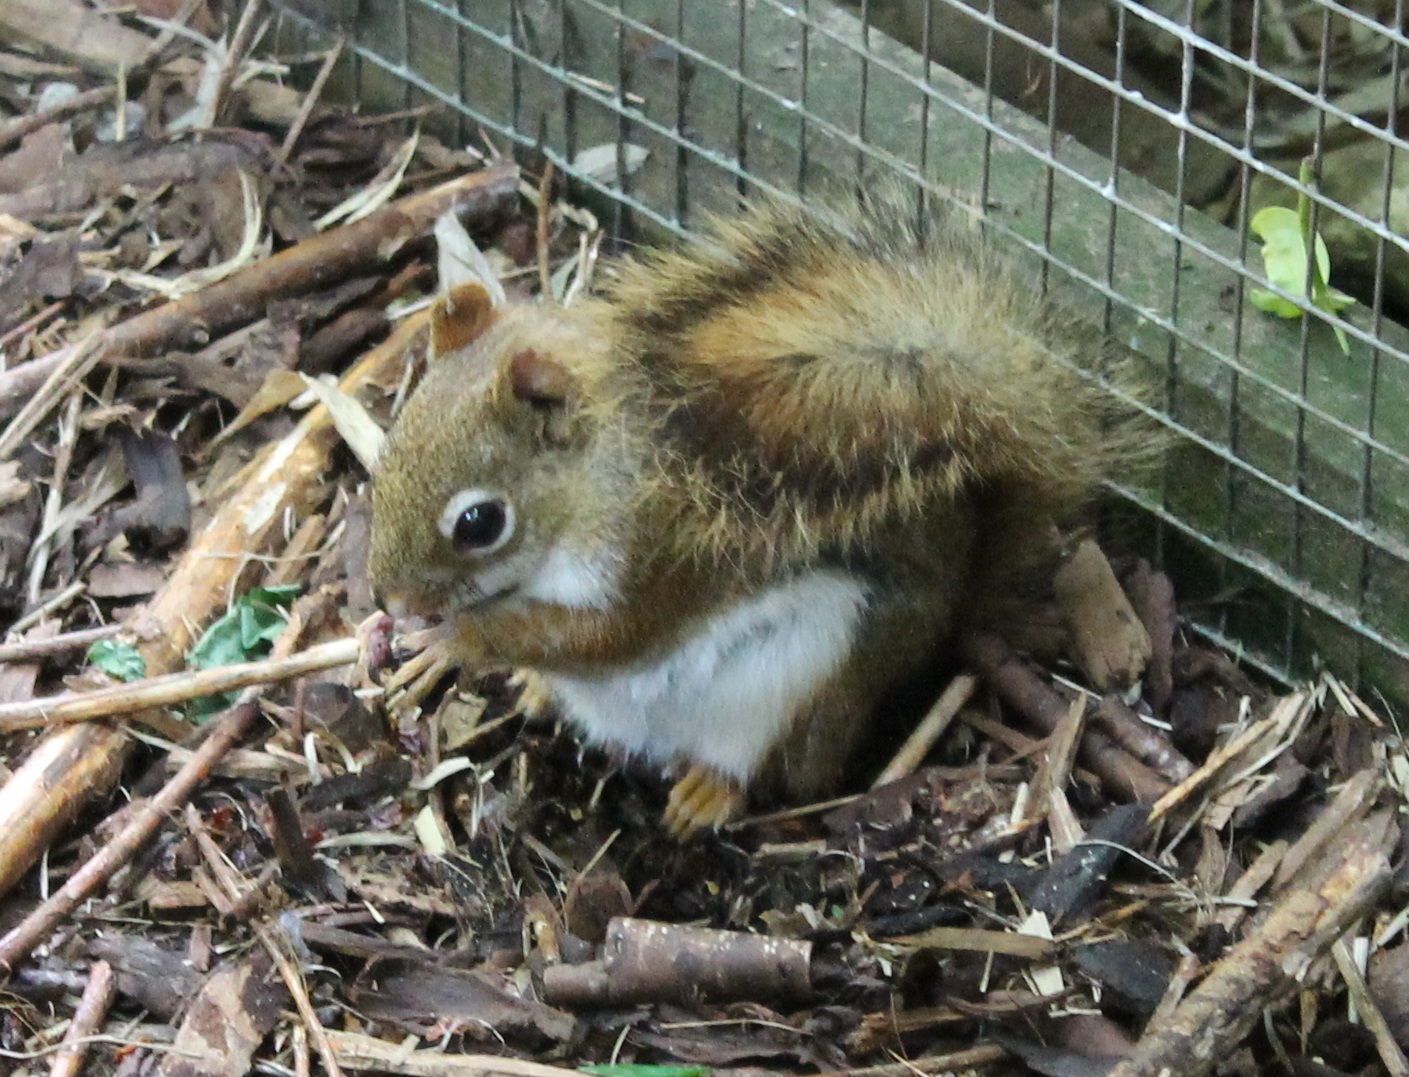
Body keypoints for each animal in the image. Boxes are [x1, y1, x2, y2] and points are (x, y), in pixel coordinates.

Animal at [368, 192, 1145, 836]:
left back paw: (709, 791)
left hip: (801, 676)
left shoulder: (658, 556)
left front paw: (459, 639)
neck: (588, 491)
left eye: (479, 523)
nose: (392, 599)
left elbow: (603, 636)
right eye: (390, 445)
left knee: (779, 769)